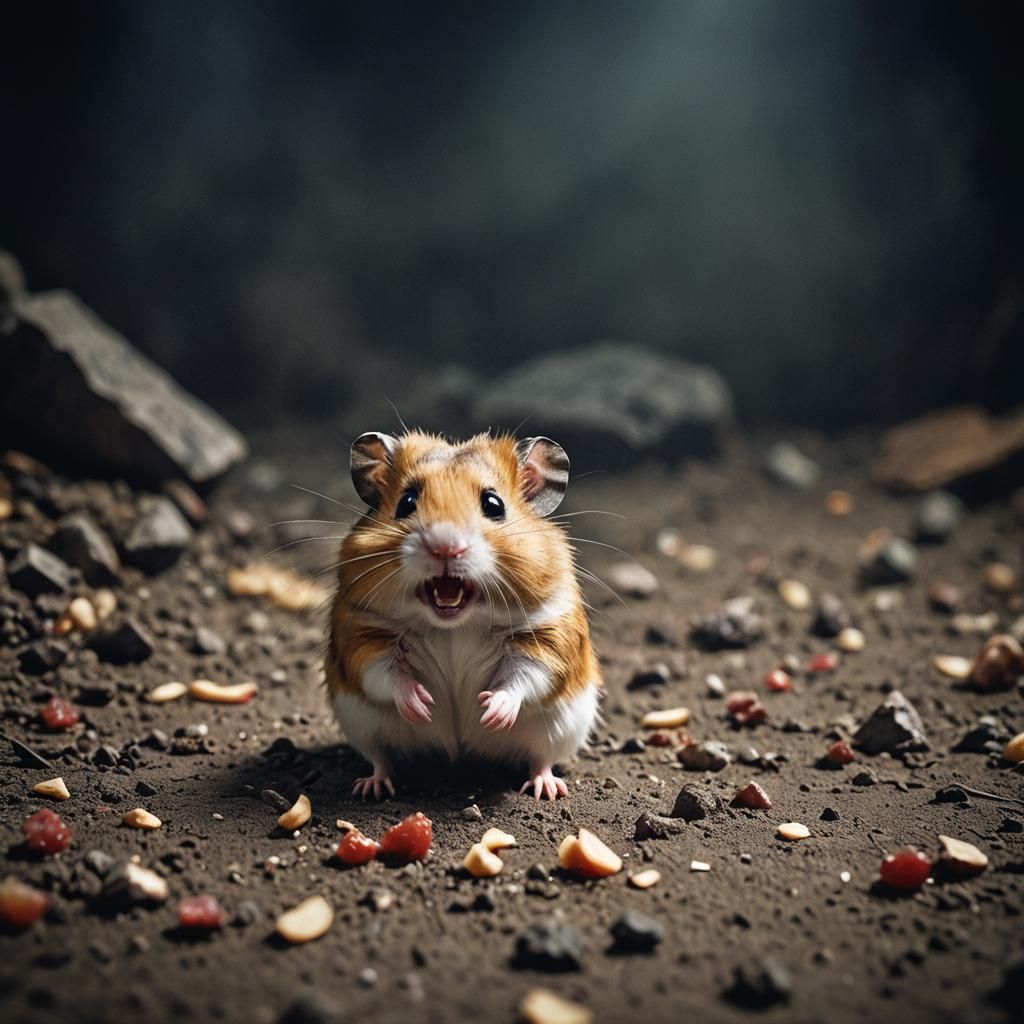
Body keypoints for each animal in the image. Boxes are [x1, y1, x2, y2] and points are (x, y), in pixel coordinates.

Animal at [325, 430, 602, 800]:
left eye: (494, 505)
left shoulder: (549, 635)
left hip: (558, 730)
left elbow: (525, 676)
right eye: (406, 502)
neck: (455, 625)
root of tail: (461, 754)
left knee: (541, 757)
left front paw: (490, 710)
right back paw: (372, 787)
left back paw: (548, 788)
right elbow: (385, 672)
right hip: (363, 726)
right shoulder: (361, 633)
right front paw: (422, 704)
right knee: (380, 757)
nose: (445, 547)